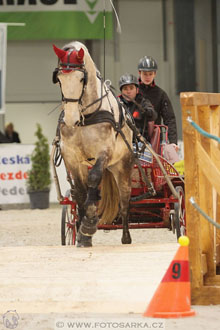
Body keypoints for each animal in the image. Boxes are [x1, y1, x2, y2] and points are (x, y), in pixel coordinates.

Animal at [52, 41, 134, 246]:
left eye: (82, 78)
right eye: (59, 78)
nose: (71, 119)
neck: (86, 117)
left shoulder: (104, 152)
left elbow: (94, 177)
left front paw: (89, 222)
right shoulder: (71, 158)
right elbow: (81, 193)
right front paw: (84, 234)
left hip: (122, 166)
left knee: (124, 201)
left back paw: (126, 237)